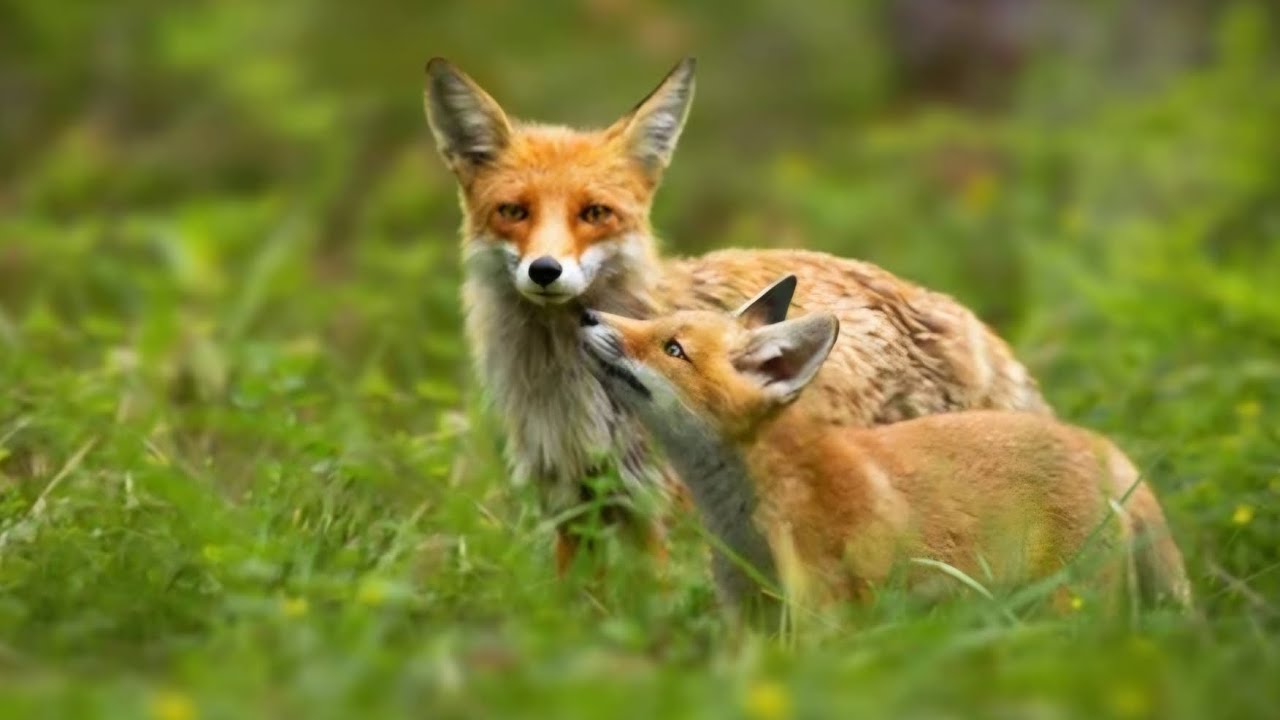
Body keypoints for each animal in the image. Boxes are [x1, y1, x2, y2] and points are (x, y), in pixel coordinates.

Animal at [423, 57, 1050, 573]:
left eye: (594, 213)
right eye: (513, 212)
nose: (546, 271)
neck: (572, 394)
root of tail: (970, 323)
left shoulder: (666, 510)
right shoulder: (572, 504)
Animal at [579, 280, 1192, 624]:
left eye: (672, 349)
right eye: (660, 324)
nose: (587, 315)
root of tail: (1101, 444)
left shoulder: (822, 609)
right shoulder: (748, 613)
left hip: (1067, 606)